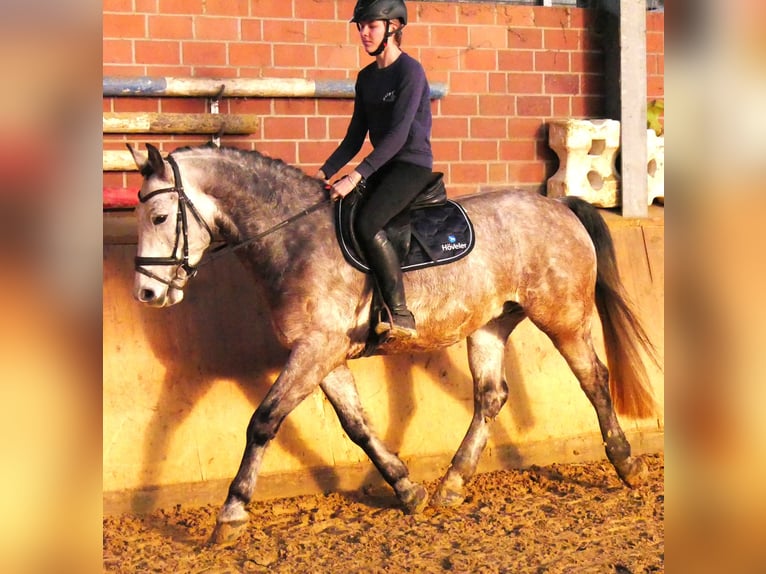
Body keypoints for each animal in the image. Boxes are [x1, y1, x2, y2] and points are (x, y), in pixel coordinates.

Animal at [127, 143, 659, 544]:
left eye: (159, 216)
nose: (147, 293)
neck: (295, 238)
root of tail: (559, 205)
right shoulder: (324, 355)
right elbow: (356, 425)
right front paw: (406, 489)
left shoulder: (315, 350)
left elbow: (264, 421)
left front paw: (231, 514)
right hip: (489, 325)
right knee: (491, 396)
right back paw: (451, 484)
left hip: (562, 318)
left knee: (594, 379)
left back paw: (626, 462)